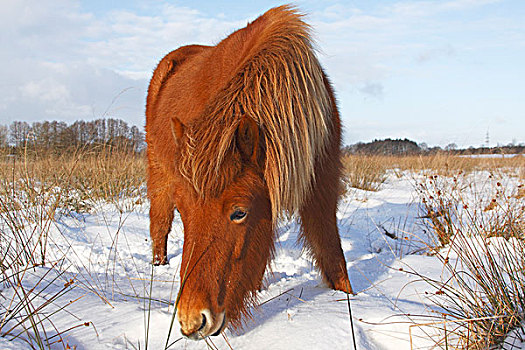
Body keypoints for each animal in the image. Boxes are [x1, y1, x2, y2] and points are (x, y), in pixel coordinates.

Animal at [145, 4, 354, 340]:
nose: (192, 321)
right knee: (159, 225)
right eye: (186, 213)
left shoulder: (322, 185)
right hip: (159, 175)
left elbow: (332, 254)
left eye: (239, 212)